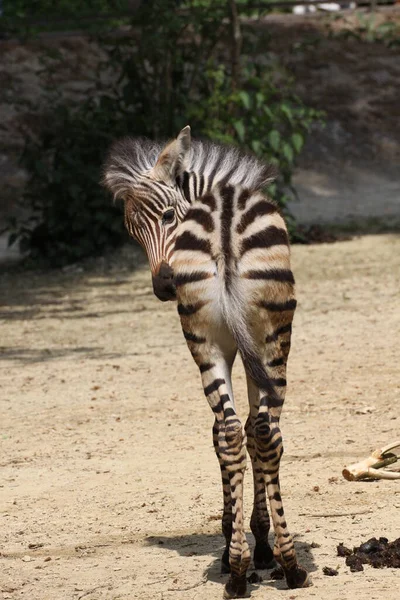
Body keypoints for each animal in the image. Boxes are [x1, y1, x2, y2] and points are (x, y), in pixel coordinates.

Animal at [103, 125, 310, 596]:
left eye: (166, 217)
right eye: (133, 233)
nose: (164, 287)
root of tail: (226, 221)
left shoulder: (232, 347)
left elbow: (230, 433)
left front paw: (240, 542)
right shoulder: (248, 349)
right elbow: (251, 431)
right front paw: (255, 541)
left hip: (206, 341)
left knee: (233, 433)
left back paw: (239, 571)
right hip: (273, 339)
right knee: (264, 432)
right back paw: (287, 565)